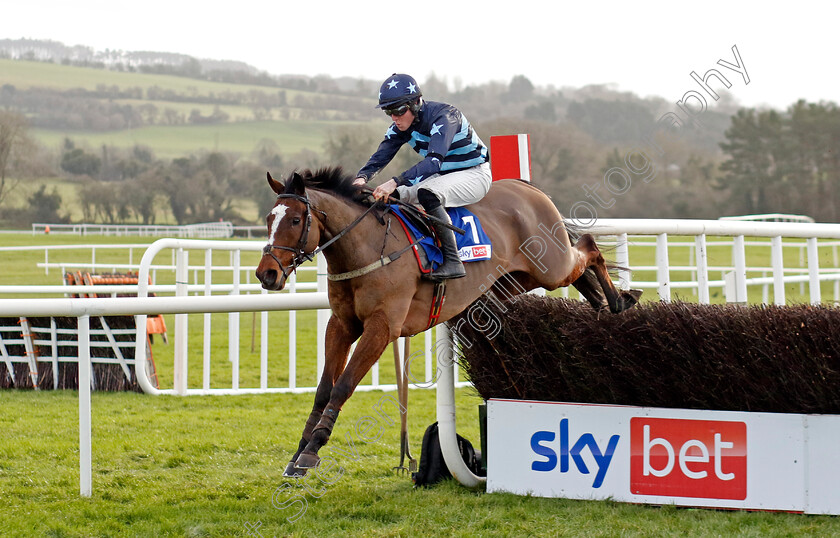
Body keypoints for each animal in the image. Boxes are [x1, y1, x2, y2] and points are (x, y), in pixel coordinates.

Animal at [253, 166, 640, 474]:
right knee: (580, 269)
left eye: (295, 220)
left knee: (588, 246)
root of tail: (530, 188)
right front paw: (300, 451)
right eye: (269, 220)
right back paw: (602, 303)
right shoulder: (342, 325)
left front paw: (313, 450)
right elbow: (323, 389)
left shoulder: (382, 327)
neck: (368, 248)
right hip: (513, 282)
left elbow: (343, 385)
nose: (266, 274)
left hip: (551, 267)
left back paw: (620, 299)